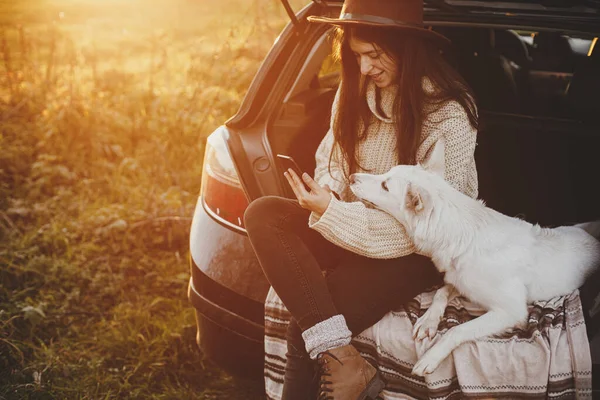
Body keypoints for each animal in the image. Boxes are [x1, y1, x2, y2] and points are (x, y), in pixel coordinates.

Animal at [346, 141, 600, 378]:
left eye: (385, 186)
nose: (351, 177)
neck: (464, 236)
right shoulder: (459, 282)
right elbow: (440, 293)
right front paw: (429, 321)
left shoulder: (511, 311)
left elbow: (456, 331)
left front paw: (431, 356)